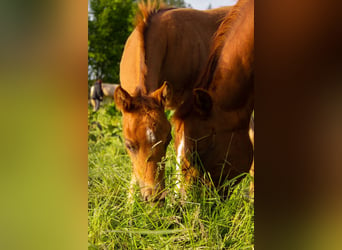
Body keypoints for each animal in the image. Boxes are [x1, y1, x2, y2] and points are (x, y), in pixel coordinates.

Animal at [115, 0, 232, 202]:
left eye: (166, 140)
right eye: (129, 145)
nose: (155, 198)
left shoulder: (188, 104)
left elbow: (183, 150)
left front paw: (178, 199)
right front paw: (130, 204)